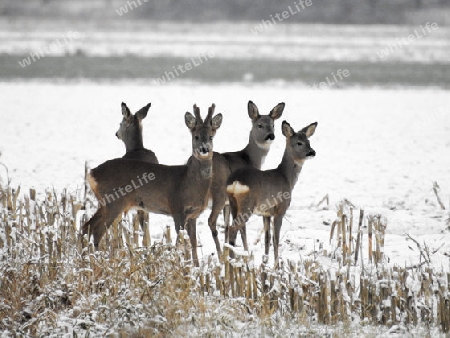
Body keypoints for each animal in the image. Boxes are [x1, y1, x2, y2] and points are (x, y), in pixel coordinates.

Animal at [225, 121, 316, 264]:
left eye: (309, 141)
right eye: (299, 143)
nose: (312, 152)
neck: (286, 177)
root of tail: (235, 181)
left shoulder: (266, 213)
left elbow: (267, 238)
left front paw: (265, 262)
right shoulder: (280, 209)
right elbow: (276, 238)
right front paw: (277, 264)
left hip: (233, 203)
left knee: (235, 228)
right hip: (247, 205)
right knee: (233, 228)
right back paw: (233, 261)